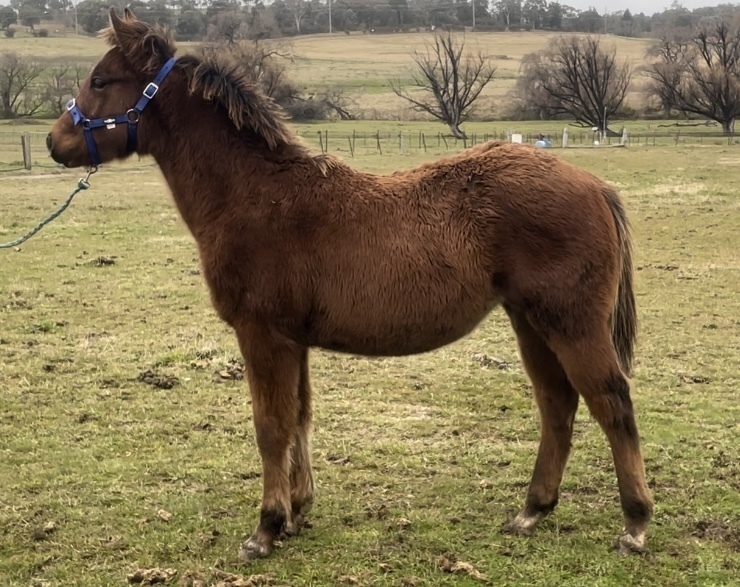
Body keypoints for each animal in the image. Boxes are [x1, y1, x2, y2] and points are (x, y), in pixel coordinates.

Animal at [47, 8, 653, 560]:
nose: (56, 142)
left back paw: (635, 523)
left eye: (100, 81)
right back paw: (532, 511)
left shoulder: (261, 333)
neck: (255, 195)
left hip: (571, 322)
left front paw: (265, 528)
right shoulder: (292, 340)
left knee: (611, 401)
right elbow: (299, 418)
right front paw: (296, 512)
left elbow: (270, 425)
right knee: (558, 402)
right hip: (531, 321)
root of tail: (595, 185)